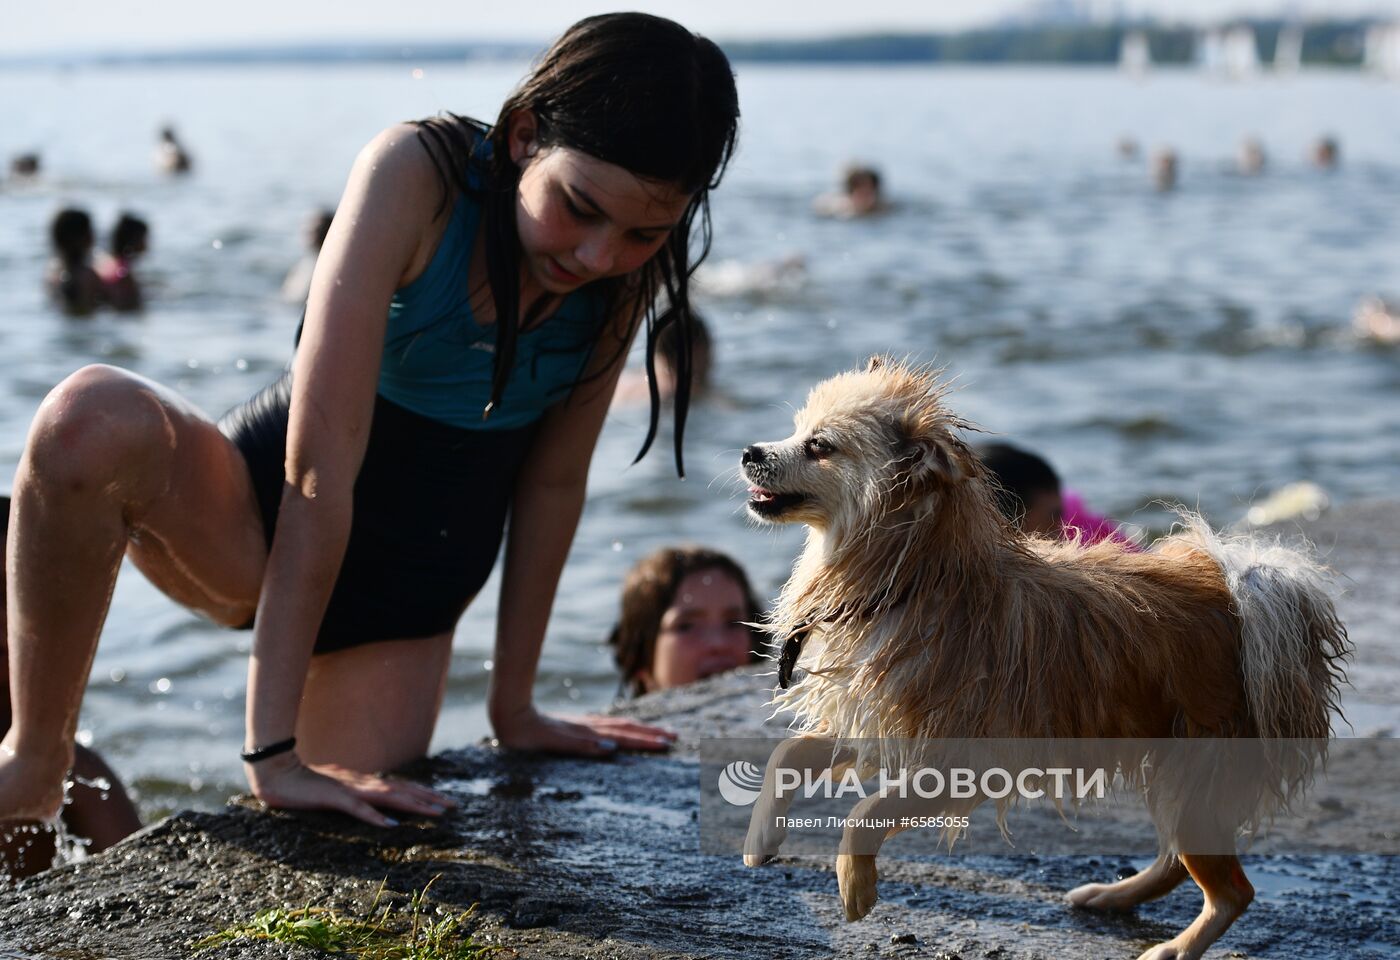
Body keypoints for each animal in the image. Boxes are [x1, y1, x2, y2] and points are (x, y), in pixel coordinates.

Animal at [739, 356, 1349, 960]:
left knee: (1232, 891)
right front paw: (761, 838)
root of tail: (1247, 598)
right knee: (1181, 861)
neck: (908, 580)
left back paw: (1174, 948)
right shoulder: (873, 715)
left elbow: (866, 812)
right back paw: (1112, 897)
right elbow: (789, 754)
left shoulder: (961, 756)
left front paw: (855, 886)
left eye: (819, 445)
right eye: (795, 429)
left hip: (1200, 771)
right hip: (1176, 772)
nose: (749, 451)